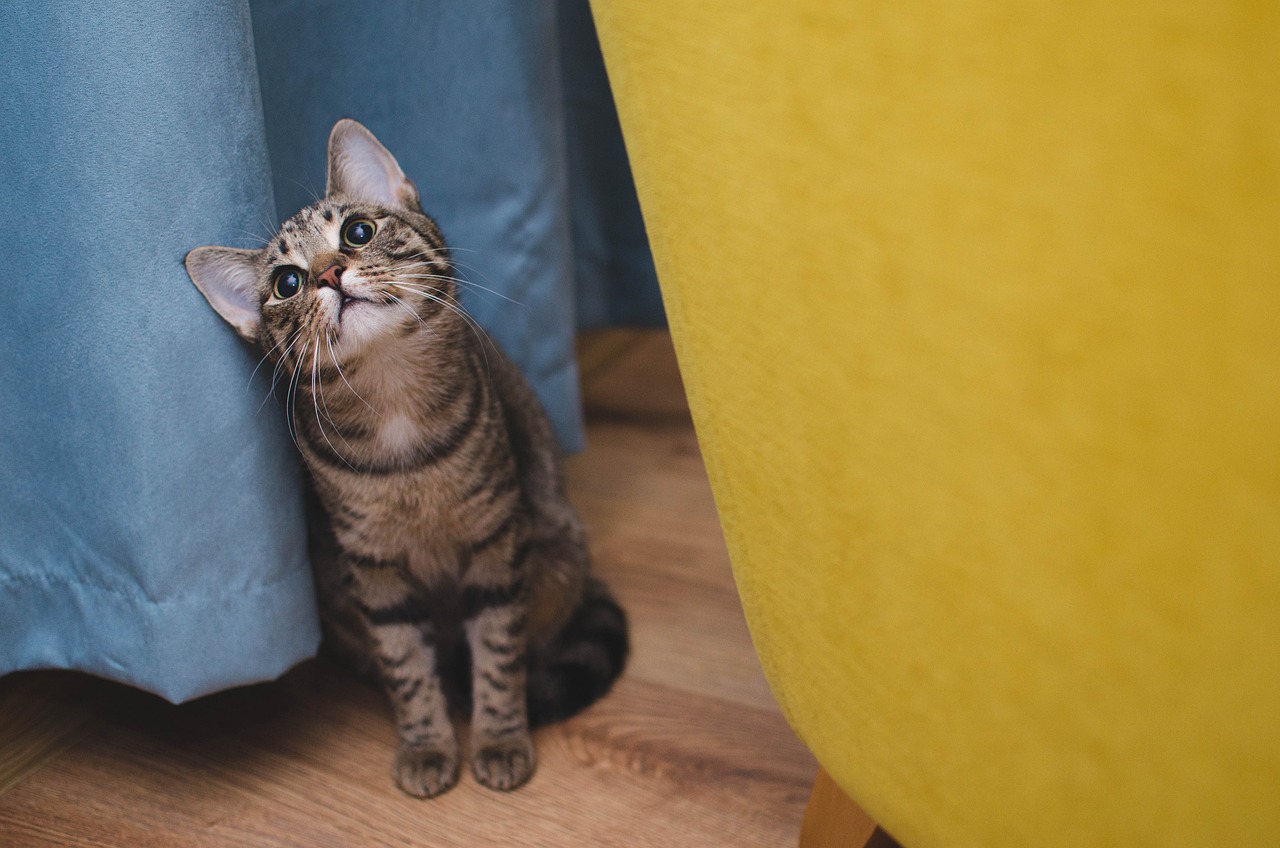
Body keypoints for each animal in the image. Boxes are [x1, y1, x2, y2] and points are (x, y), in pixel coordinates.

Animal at [184, 117, 629, 799]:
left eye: (357, 232)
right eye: (287, 283)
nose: (328, 274)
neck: (393, 405)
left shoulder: (495, 543)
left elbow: (498, 654)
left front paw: (499, 736)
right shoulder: (373, 569)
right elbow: (406, 665)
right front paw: (426, 743)